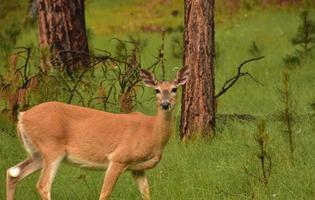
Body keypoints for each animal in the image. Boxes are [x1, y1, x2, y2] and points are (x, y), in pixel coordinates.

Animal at [6, 66, 190, 200]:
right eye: (156, 90)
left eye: (174, 89)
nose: (165, 104)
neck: (152, 131)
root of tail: (22, 117)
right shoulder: (118, 158)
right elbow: (104, 193)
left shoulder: (138, 169)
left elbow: (146, 194)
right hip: (51, 148)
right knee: (43, 185)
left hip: (38, 153)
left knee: (13, 173)